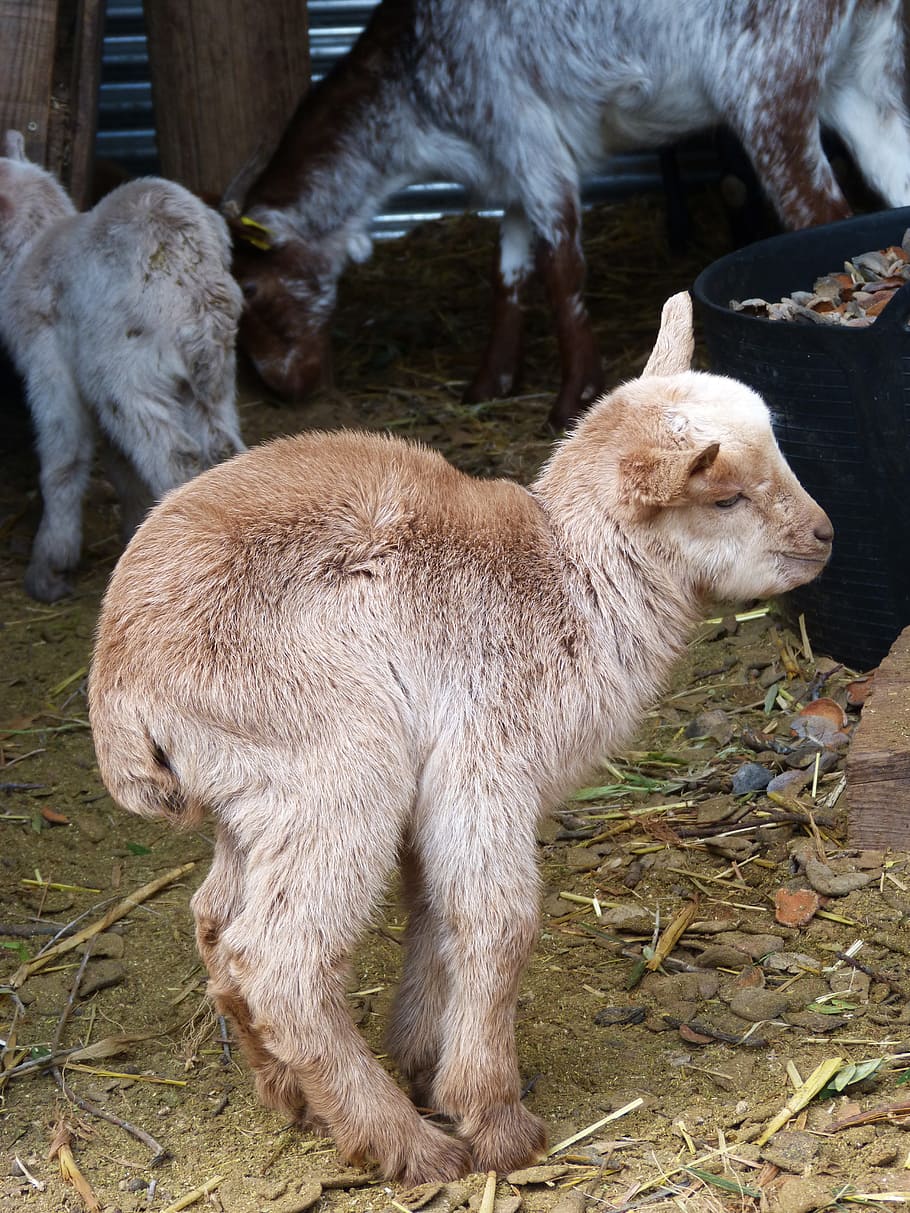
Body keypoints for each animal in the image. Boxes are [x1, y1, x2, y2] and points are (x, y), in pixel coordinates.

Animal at [0, 130, 245, 602]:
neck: (29, 247)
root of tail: (196, 285)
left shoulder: (49, 364)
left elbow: (64, 461)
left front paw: (50, 569)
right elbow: (120, 467)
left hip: (126, 374)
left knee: (176, 461)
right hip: (214, 376)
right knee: (222, 449)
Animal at [88, 292, 833, 1183]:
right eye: (724, 498)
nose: (825, 535)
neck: (571, 580)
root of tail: (118, 686)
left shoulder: (440, 781)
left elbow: (433, 909)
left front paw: (422, 1056)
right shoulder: (489, 758)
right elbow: (497, 920)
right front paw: (492, 1113)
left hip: (256, 788)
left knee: (217, 924)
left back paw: (294, 1095)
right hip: (334, 749)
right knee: (281, 958)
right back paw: (404, 1144)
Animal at [224, 0, 910, 429]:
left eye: (250, 290)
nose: (284, 386)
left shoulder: (529, 136)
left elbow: (561, 269)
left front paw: (572, 397)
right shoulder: (511, 165)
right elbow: (509, 269)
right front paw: (489, 383)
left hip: (765, 82)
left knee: (821, 215)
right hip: (858, 77)